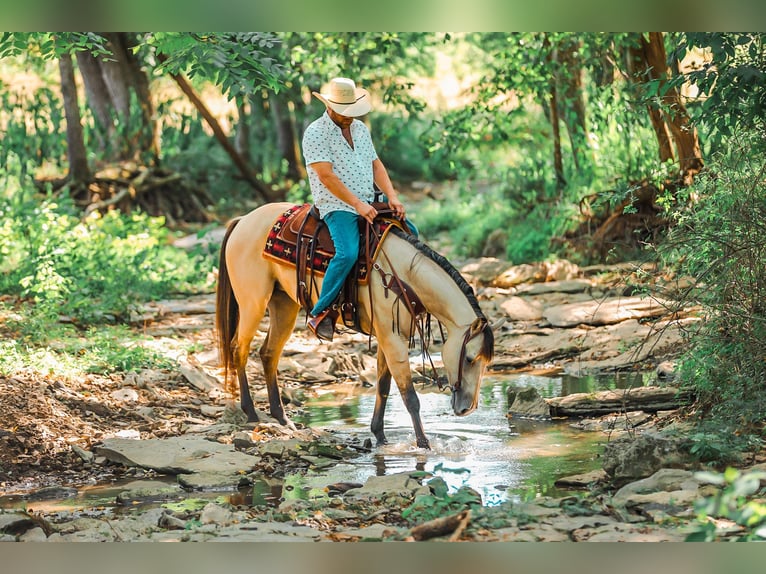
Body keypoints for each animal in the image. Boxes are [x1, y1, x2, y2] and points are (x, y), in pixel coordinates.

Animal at [215, 202, 497, 449]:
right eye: (470, 359)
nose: (467, 408)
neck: (404, 276)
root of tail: (243, 220)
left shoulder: (388, 337)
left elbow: (383, 387)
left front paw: (380, 435)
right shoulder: (393, 340)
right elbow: (409, 396)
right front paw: (423, 444)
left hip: (284, 304)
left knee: (268, 353)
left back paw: (282, 418)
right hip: (253, 302)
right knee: (239, 349)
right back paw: (251, 412)